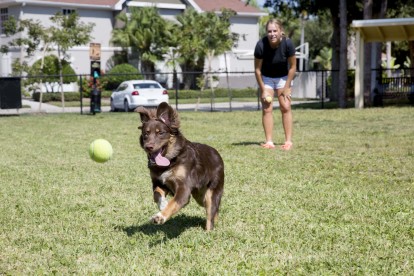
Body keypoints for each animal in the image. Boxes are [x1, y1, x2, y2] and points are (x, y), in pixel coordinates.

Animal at [135, 102, 225, 230]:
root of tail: (217, 154)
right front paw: (163, 205)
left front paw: (160, 216)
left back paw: (209, 231)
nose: (148, 147)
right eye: (145, 134)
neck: (170, 161)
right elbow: (156, 194)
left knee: (210, 214)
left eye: (160, 133)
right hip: (199, 196)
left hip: (211, 193)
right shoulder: (159, 182)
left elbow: (174, 203)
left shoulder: (184, 188)